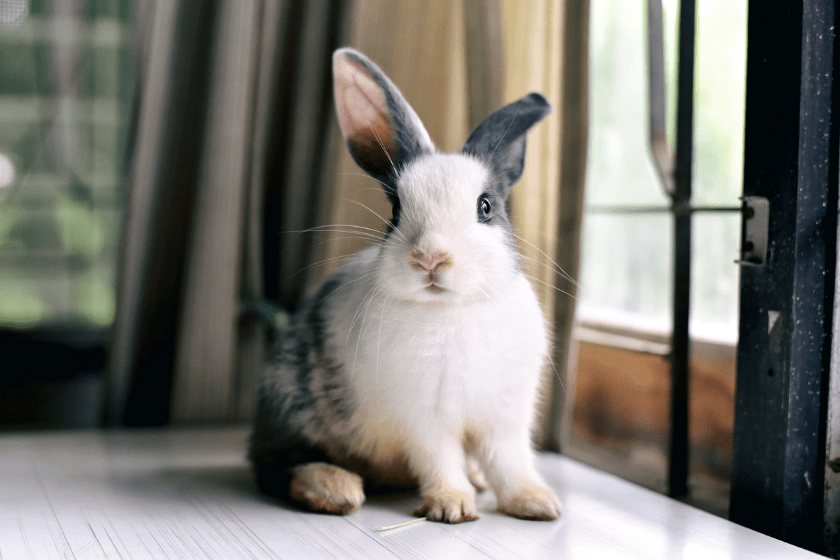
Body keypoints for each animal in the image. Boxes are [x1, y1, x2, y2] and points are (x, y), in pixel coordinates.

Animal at [249, 48, 564, 524]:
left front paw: (538, 504)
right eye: (395, 210)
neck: (453, 309)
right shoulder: (424, 419)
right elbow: (440, 459)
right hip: (290, 404)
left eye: (485, 207)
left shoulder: (505, 417)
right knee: (277, 463)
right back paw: (334, 487)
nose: (430, 258)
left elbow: (510, 461)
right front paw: (452, 507)